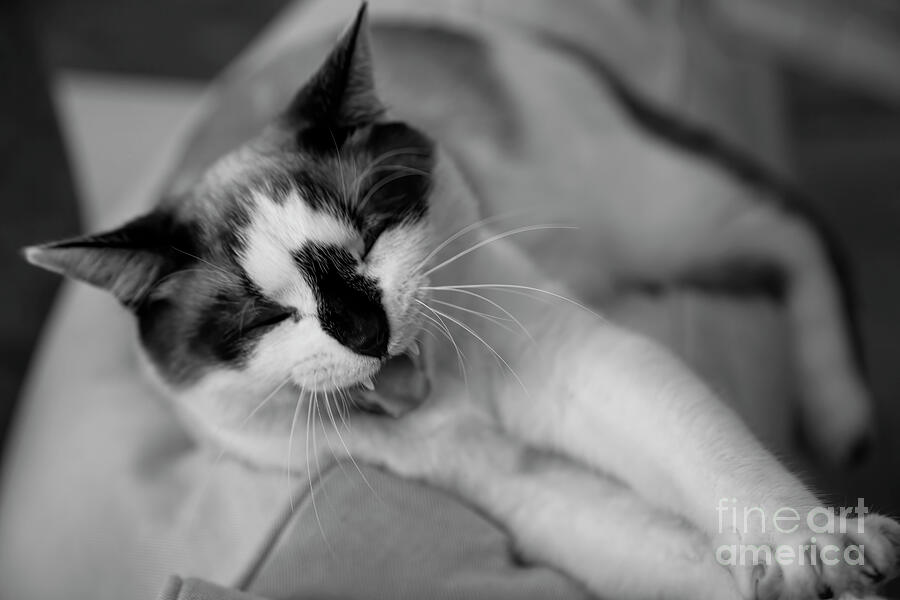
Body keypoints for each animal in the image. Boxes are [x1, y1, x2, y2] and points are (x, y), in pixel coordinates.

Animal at [26, 4, 900, 600]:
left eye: (372, 233)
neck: (453, 401)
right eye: (264, 317)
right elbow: (673, 553)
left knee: (792, 224)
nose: (365, 330)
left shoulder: (593, 369)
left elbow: (719, 464)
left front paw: (818, 551)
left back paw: (840, 411)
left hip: (659, 222)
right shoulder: (524, 492)